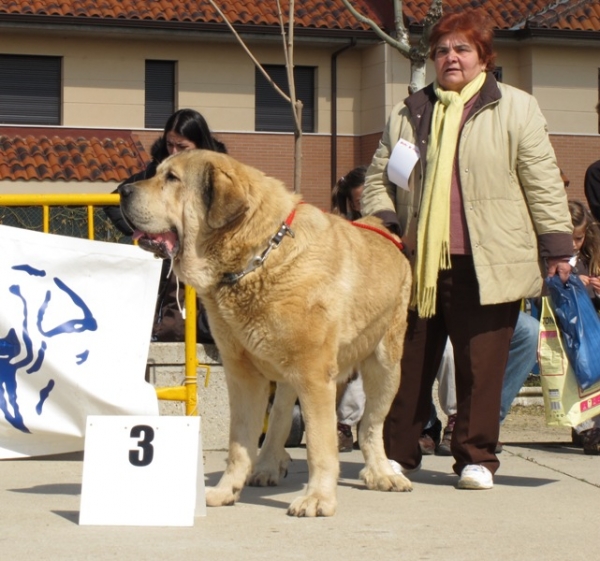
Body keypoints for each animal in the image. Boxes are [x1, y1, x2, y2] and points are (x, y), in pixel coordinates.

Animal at [120, 149, 414, 516]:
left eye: (172, 178)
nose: (123, 191)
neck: (258, 256)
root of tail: (379, 228)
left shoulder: (315, 374)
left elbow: (320, 443)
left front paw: (318, 498)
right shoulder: (243, 374)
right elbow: (240, 442)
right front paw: (225, 490)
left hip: (385, 366)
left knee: (372, 424)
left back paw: (383, 473)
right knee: (279, 418)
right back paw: (267, 466)